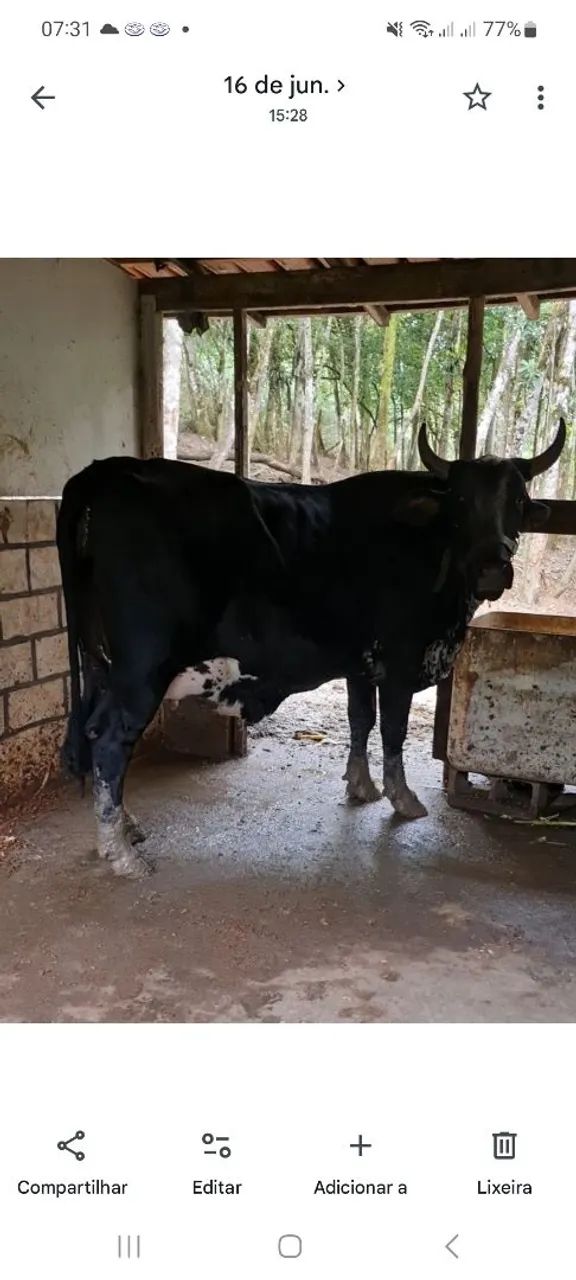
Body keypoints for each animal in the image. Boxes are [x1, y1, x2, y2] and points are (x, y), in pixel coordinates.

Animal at [57, 420, 565, 877]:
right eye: (459, 502)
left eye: (517, 500)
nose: (492, 569)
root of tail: (110, 470)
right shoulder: (401, 661)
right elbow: (393, 732)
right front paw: (402, 799)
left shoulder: (361, 663)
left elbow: (360, 720)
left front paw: (361, 786)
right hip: (143, 668)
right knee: (111, 738)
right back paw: (121, 853)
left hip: (102, 662)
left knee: (93, 729)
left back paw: (126, 825)